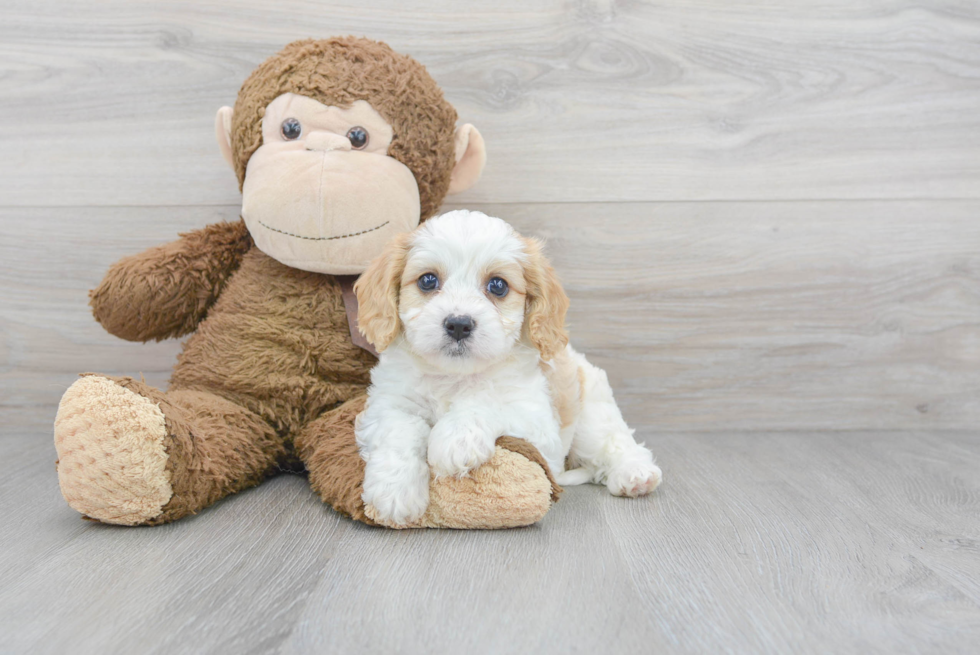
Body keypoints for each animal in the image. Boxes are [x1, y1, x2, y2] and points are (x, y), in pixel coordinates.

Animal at [352, 211, 660, 528]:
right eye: (427, 280)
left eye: (497, 286)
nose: (459, 324)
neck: (455, 376)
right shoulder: (388, 404)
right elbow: (401, 428)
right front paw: (395, 492)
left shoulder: (537, 421)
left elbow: (489, 402)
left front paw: (457, 438)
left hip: (592, 414)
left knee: (616, 442)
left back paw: (635, 475)